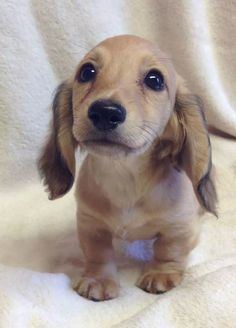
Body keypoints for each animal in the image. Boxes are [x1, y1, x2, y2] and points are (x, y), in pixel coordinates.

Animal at [38, 35, 218, 300]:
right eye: (86, 72)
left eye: (155, 79)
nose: (105, 112)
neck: (124, 176)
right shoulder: (90, 224)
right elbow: (98, 254)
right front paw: (98, 279)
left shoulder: (179, 226)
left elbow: (169, 250)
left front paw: (161, 274)